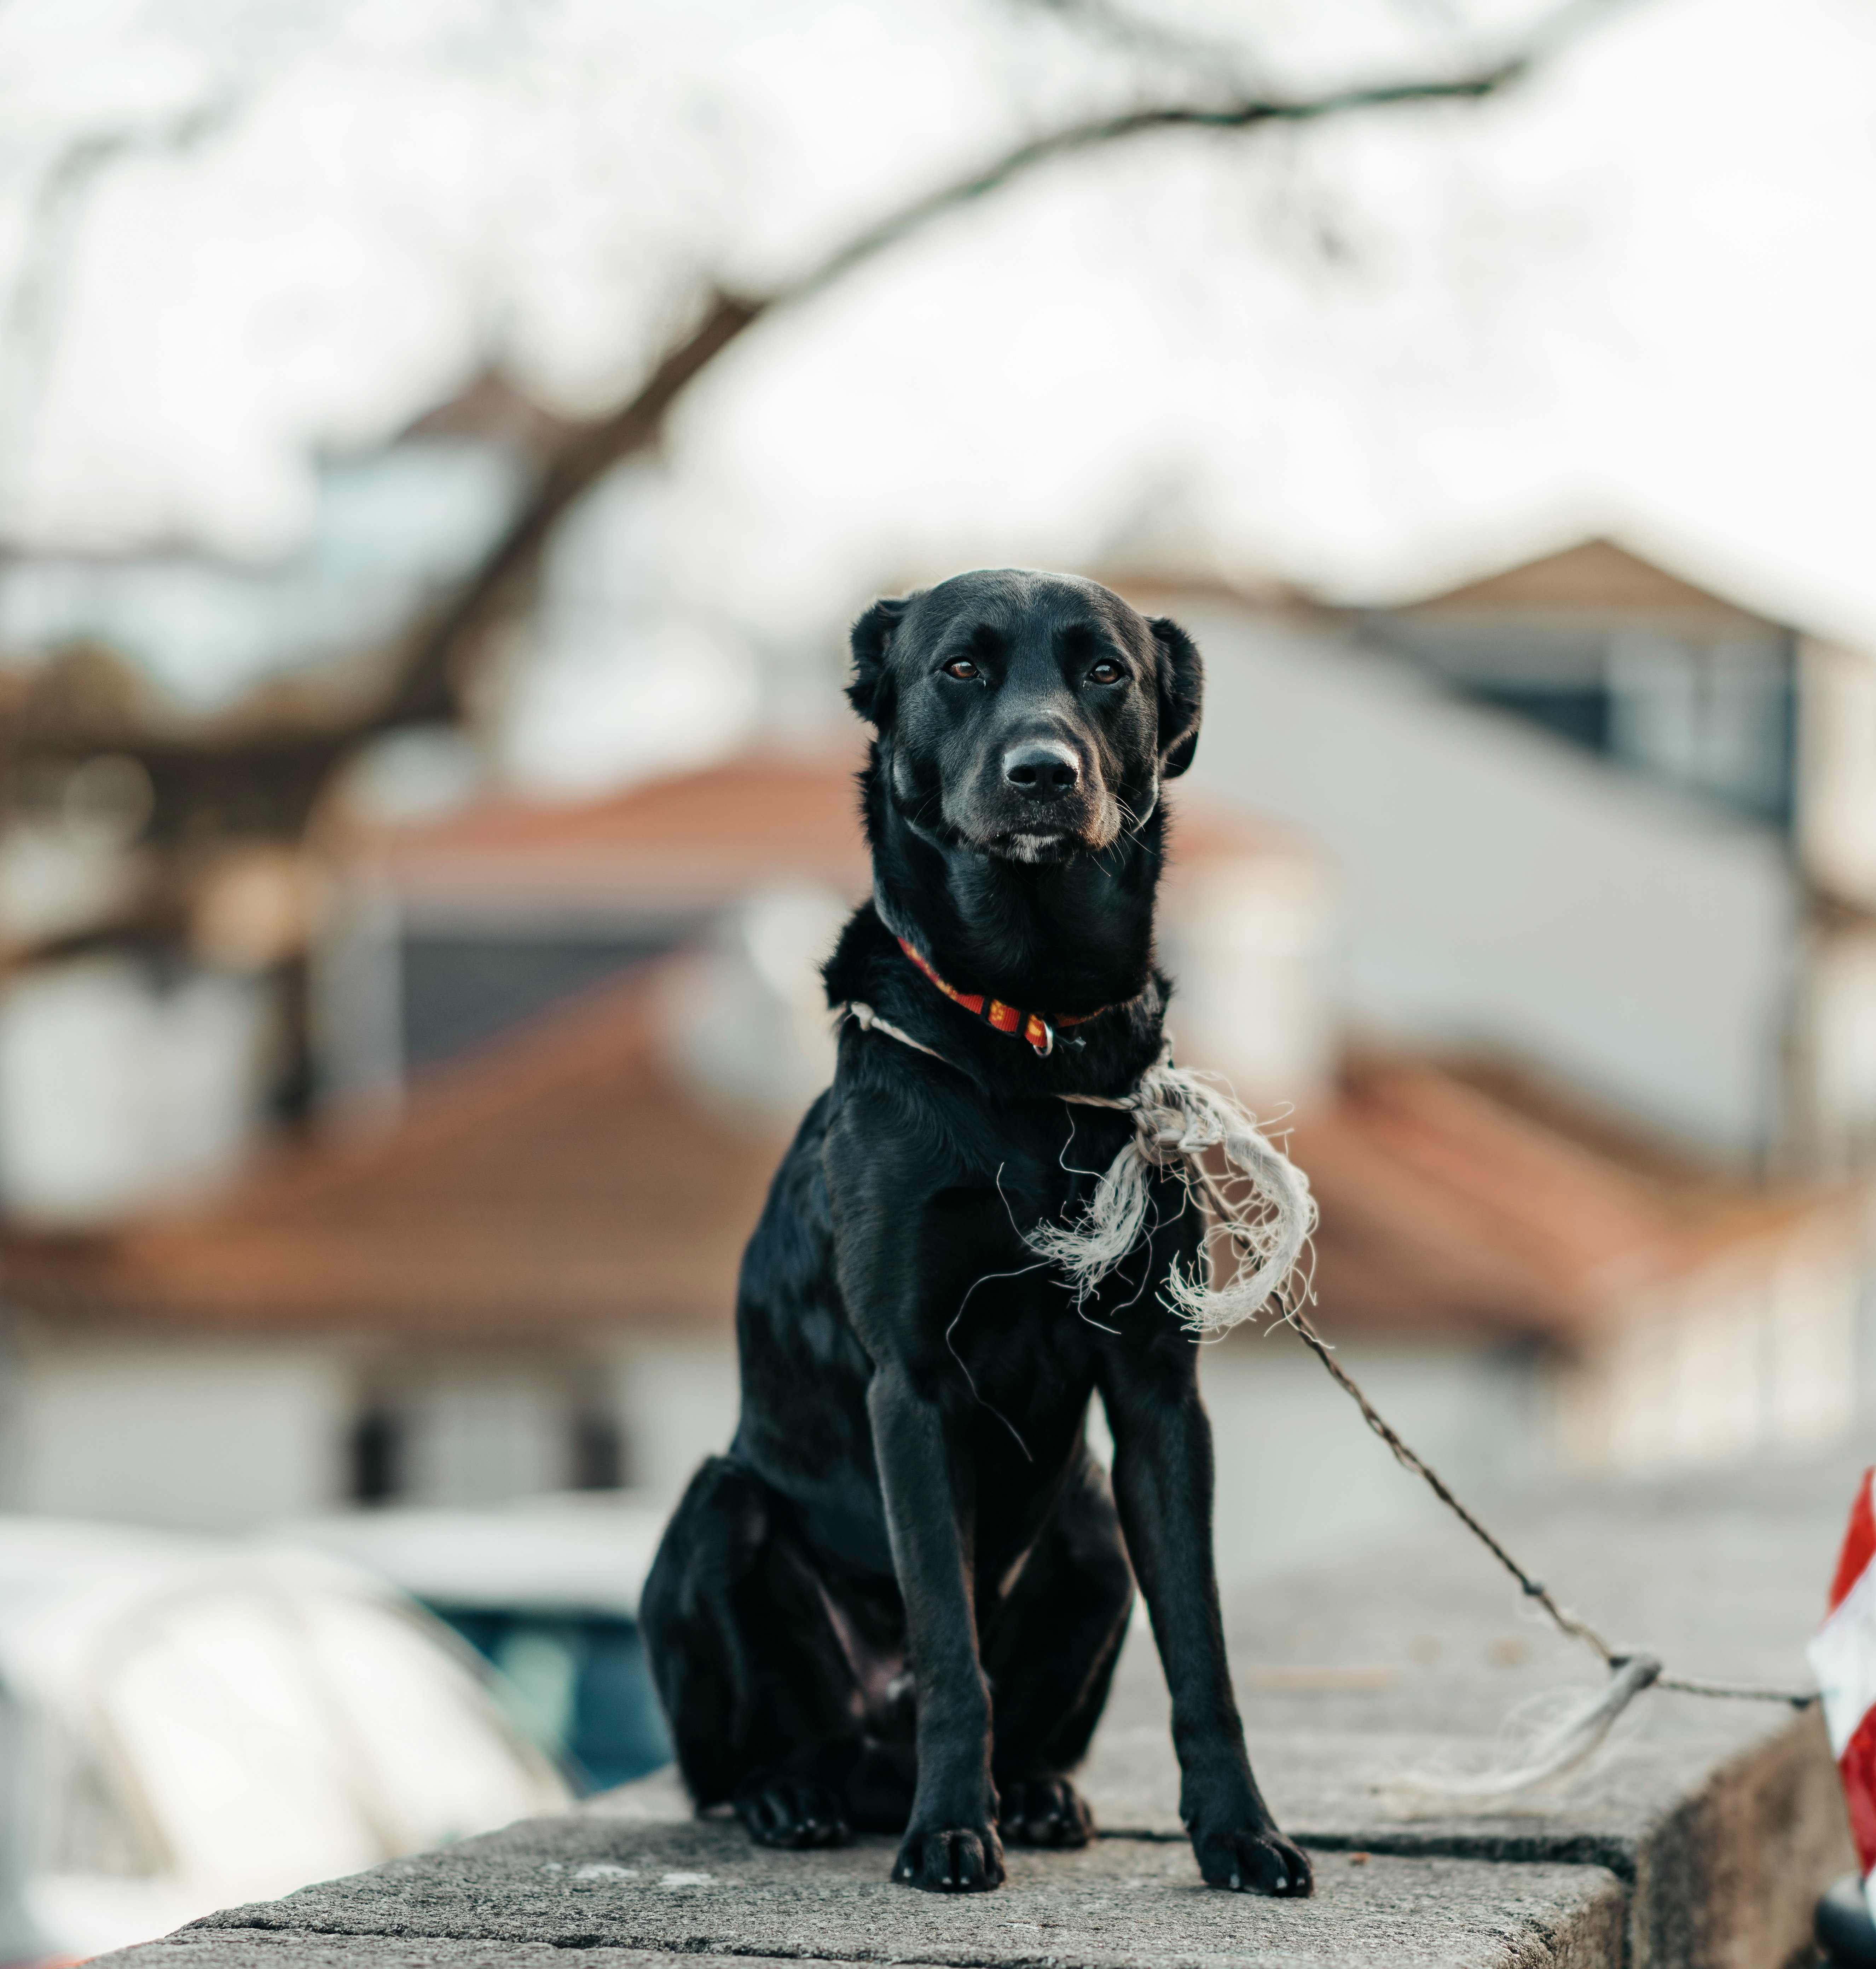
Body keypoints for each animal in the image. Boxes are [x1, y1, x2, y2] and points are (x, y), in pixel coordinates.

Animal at [645, 567, 1315, 1890]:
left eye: (1105, 671)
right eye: (960, 667)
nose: (1042, 771)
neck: (1029, 1040)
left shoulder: (1158, 1390)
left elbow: (1202, 1649)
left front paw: (1239, 1830)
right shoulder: (912, 1382)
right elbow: (952, 1647)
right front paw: (951, 1829)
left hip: (1091, 1524)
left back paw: (1038, 1790)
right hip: (716, 1505)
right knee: (741, 1760)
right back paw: (801, 1794)